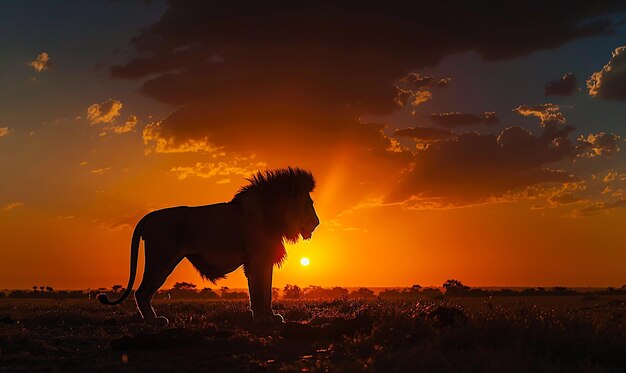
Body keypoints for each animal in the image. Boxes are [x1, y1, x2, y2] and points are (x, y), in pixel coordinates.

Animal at [97, 167, 316, 324]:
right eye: (309, 204)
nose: (317, 222)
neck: (273, 212)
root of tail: (148, 217)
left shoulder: (265, 258)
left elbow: (267, 290)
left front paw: (271, 316)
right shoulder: (256, 258)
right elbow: (259, 290)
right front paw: (262, 319)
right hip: (161, 260)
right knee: (141, 292)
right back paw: (154, 321)